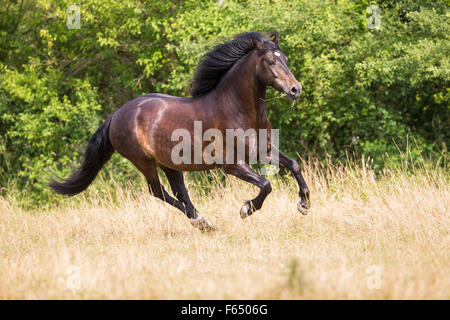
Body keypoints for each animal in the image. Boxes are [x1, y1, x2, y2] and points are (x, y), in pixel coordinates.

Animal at [49, 31, 310, 231]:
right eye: (270, 62)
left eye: (286, 58)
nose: (295, 89)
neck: (237, 109)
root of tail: (116, 115)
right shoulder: (231, 164)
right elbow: (266, 184)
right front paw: (246, 209)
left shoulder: (262, 150)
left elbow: (294, 165)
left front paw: (304, 205)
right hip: (144, 161)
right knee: (158, 191)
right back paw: (199, 221)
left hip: (169, 163)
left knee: (179, 191)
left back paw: (203, 223)